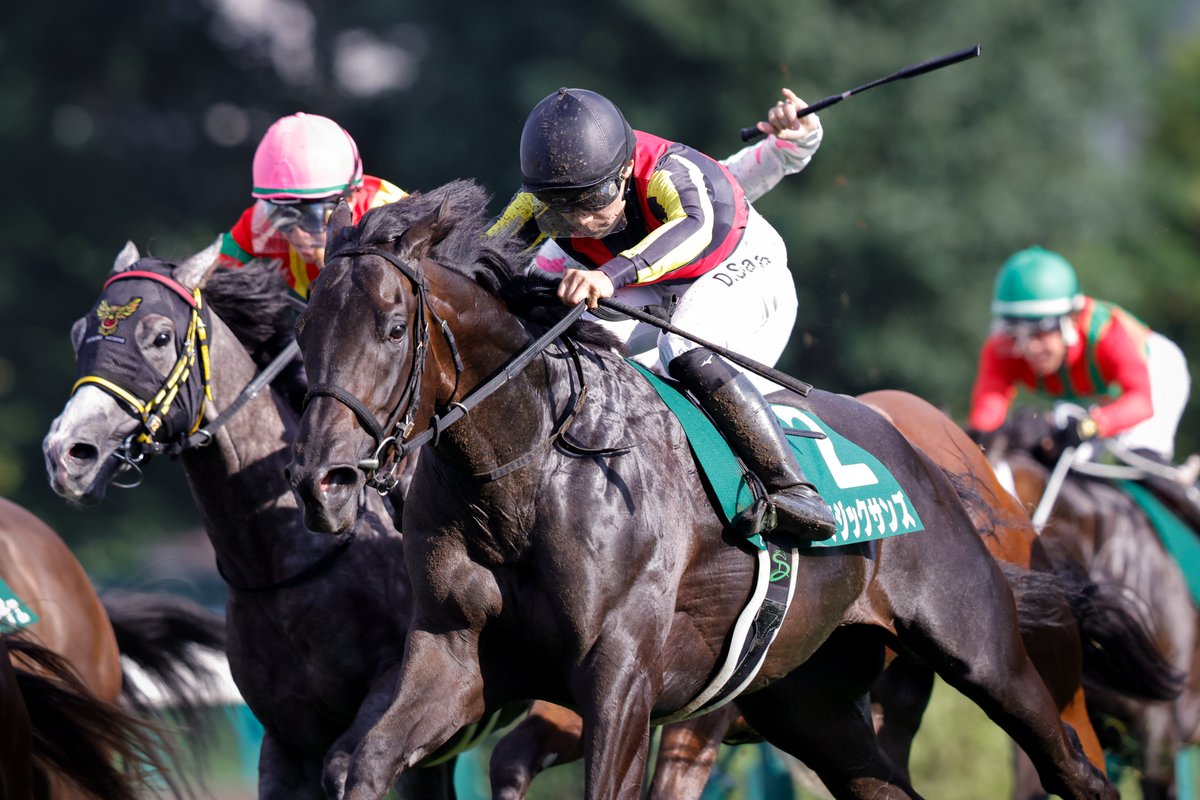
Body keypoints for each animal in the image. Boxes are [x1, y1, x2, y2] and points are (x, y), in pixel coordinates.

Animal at [283, 179, 1118, 800]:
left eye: (394, 329)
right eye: (304, 332)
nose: (324, 482)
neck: (526, 472)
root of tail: (926, 452)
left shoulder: (620, 680)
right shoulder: (454, 657)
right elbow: (356, 763)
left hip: (982, 653)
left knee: (1073, 765)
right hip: (807, 702)